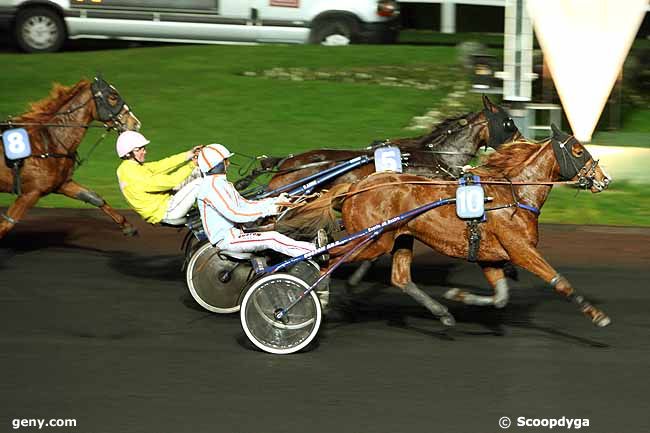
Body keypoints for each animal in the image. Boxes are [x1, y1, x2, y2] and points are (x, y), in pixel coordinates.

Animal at [0, 77, 142, 240]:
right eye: (113, 97)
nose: (136, 123)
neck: (48, 143)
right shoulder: (30, 193)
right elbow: (6, 224)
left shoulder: (62, 183)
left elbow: (93, 197)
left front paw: (127, 226)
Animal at [306, 125, 612, 328]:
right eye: (578, 150)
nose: (604, 179)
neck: (513, 194)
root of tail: (355, 186)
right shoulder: (521, 249)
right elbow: (560, 282)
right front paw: (597, 315)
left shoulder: (490, 257)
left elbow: (500, 298)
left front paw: (459, 295)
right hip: (371, 241)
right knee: (328, 259)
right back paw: (318, 297)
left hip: (399, 237)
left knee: (400, 277)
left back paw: (442, 312)